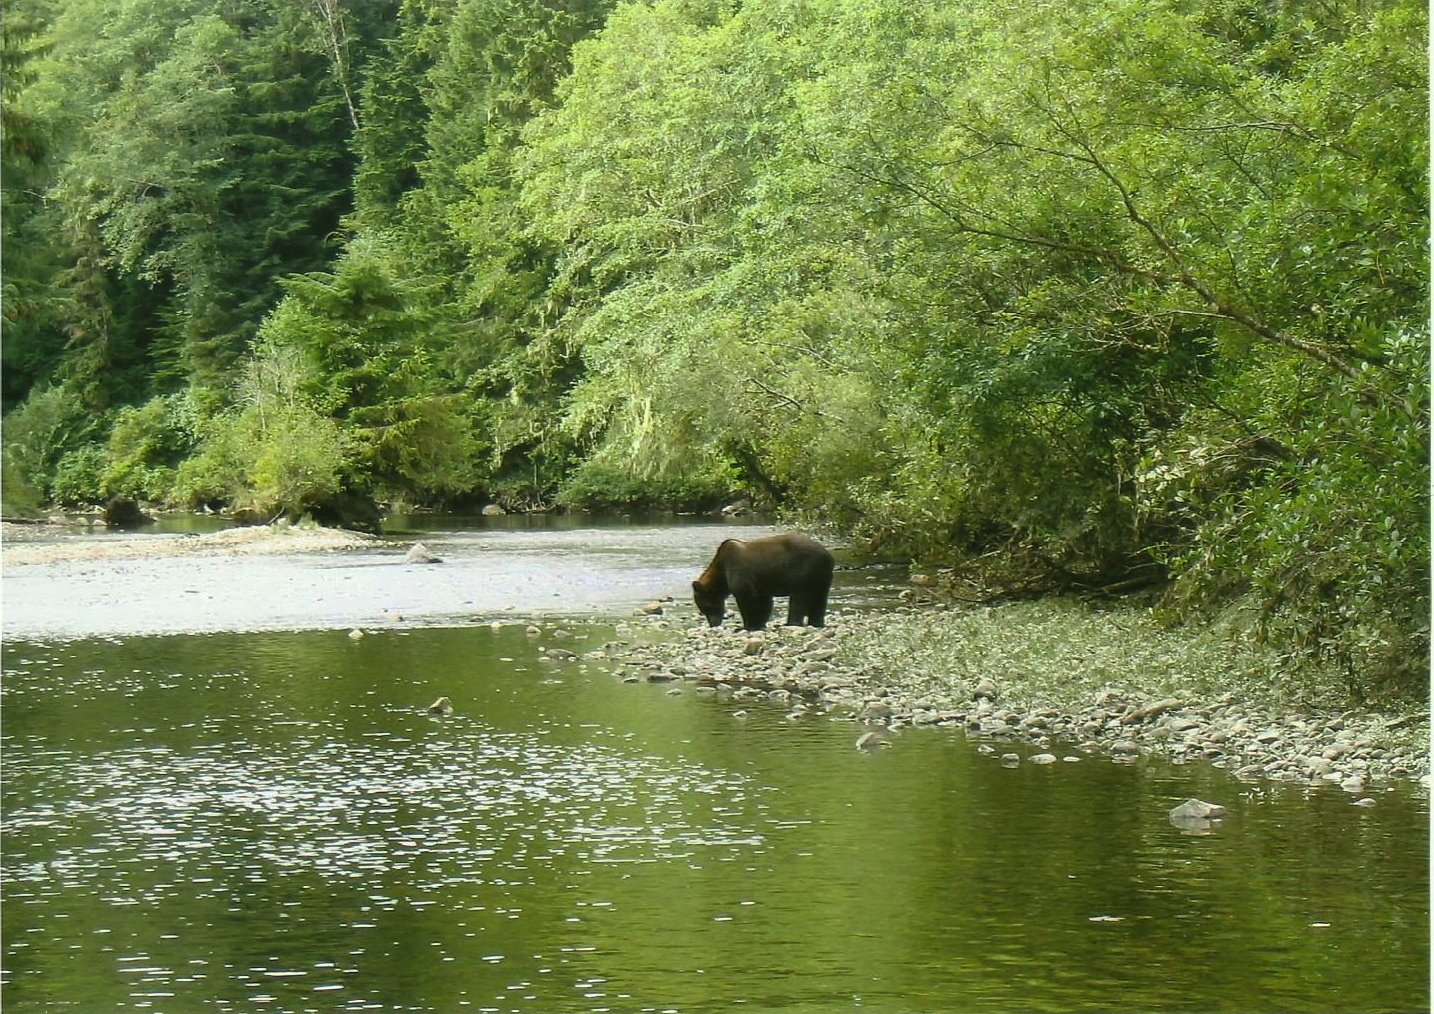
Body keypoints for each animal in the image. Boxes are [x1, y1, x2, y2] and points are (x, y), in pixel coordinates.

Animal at [692, 533, 835, 631]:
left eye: (706, 607)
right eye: (703, 610)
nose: (713, 624)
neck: (721, 571)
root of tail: (827, 554)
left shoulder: (739, 570)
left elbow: (746, 598)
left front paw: (748, 625)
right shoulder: (761, 583)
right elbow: (764, 601)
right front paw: (759, 624)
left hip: (802, 570)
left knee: (799, 598)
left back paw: (792, 623)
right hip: (822, 576)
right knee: (820, 598)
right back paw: (816, 622)